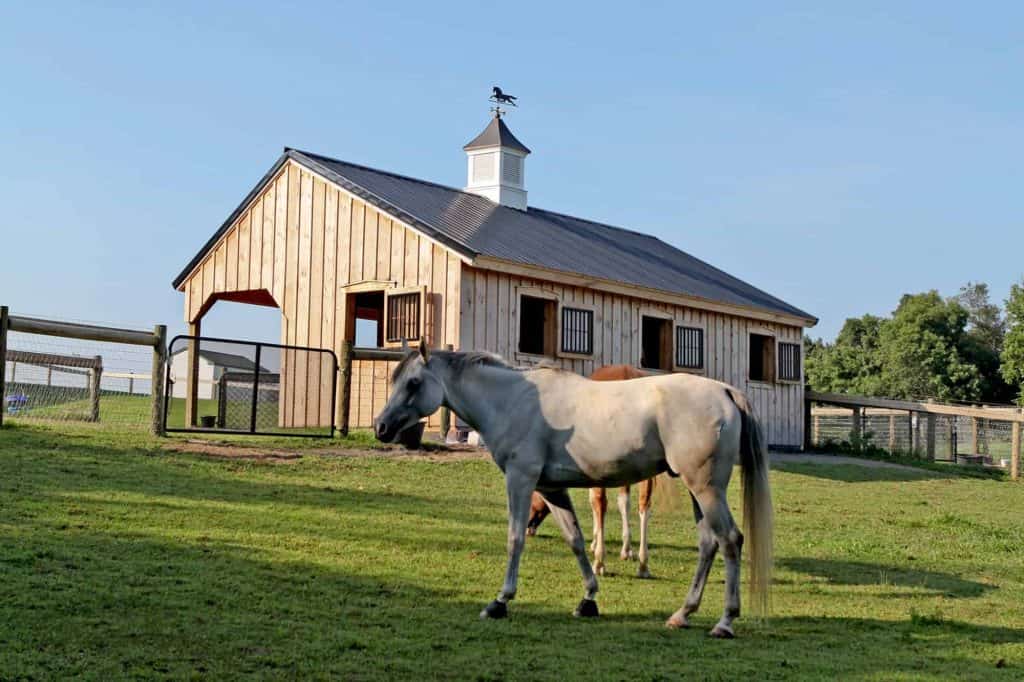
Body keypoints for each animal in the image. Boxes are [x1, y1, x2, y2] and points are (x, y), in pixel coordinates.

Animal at [526, 364, 659, 579]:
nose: (528, 528)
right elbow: (624, 503)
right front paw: (626, 550)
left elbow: (595, 503)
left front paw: (596, 544)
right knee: (644, 505)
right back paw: (643, 565)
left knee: (601, 503)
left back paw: (599, 562)